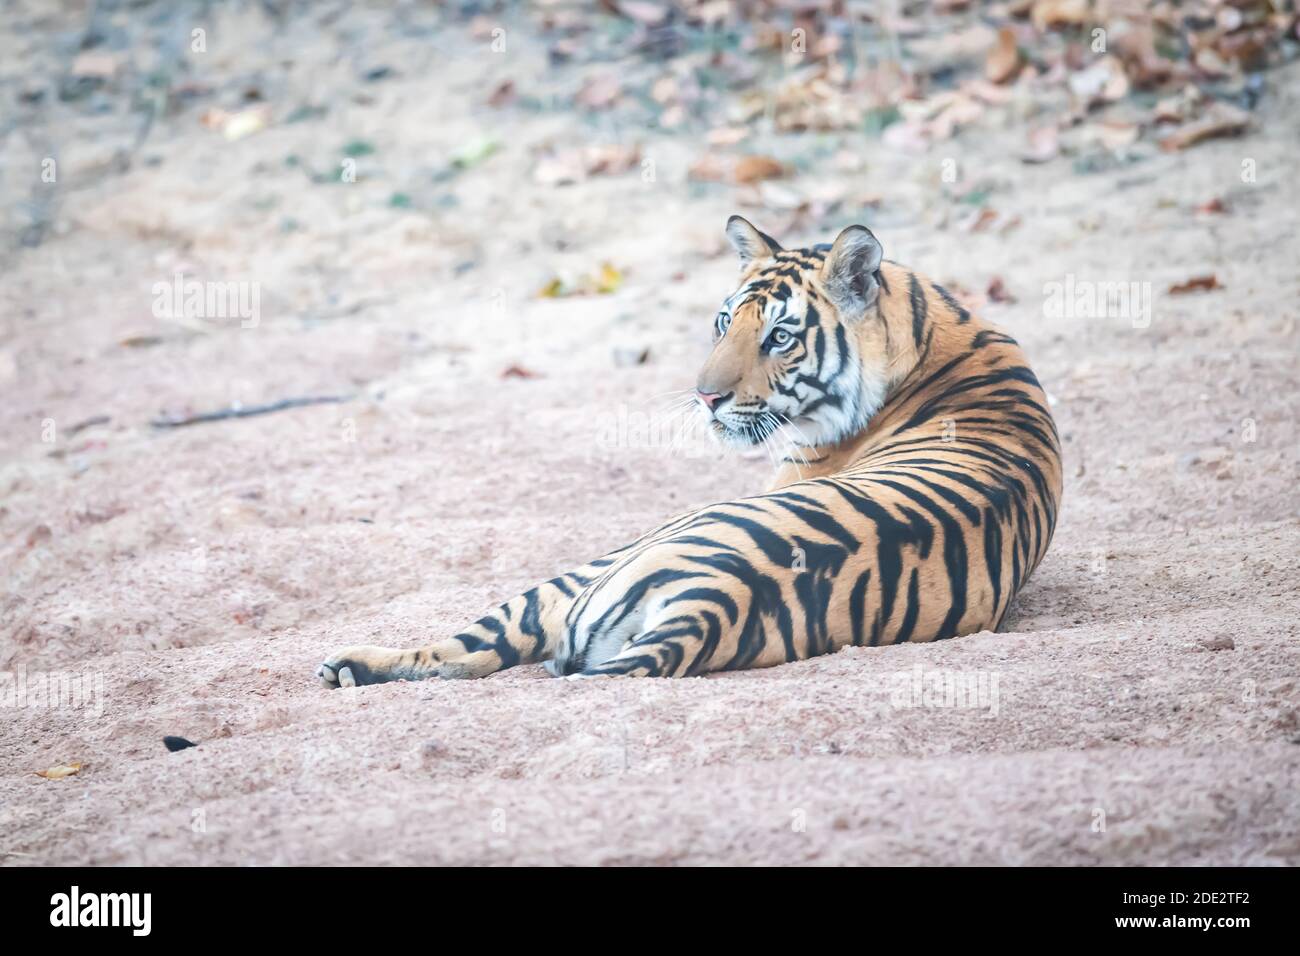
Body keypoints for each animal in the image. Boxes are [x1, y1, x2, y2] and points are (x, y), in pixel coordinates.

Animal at [317, 215, 1066, 686]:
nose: (705, 397)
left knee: (466, 647)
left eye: (780, 337)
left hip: (595, 568)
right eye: (724, 321)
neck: (933, 327)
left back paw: (345, 665)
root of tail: (713, 604)